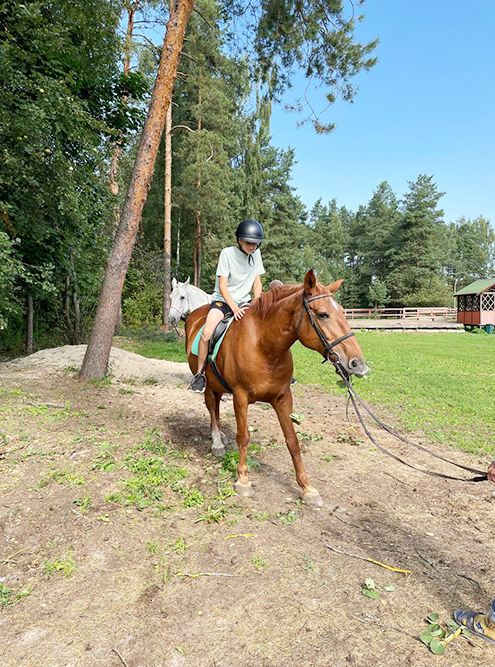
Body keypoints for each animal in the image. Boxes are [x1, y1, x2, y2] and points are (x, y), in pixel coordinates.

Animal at [186, 268, 368, 504]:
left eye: (344, 313)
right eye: (322, 314)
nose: (358, 364)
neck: (263, 346)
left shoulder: (282, 398)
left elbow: (293, 441)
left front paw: (307, 487)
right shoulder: (240, 396)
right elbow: (243, 436)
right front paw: (243, 480)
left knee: (215, 406)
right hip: (208, 383)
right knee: (211, 405)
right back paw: (217, 442)